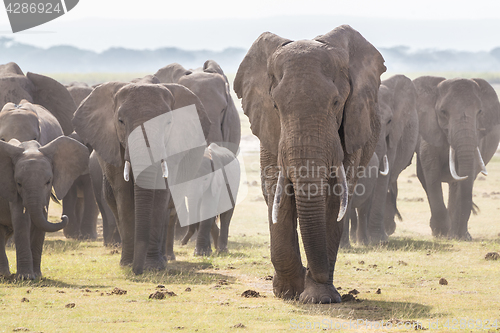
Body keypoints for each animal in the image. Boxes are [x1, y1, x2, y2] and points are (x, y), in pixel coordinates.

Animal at [0, 135, 89, 278]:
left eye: (48, 182)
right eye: (18, 183)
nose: (63, 216)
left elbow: (40, 222)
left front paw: (37, 275)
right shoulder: (12, 188)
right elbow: (21, 220)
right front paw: (26, 277)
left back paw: (5, 274)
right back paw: (4, 275)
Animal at [72, 76, 211, 274]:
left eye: (168, 123)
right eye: (121, 121)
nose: (137, 271)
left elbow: (161, 193)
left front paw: (153, 266)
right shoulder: (112, 145)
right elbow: (124, 195)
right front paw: (127, 264)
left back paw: (165, 259)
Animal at [234, 24, 386, 302]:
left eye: (336, 103)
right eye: (275, 105)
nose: (313, 273)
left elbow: (334, 197)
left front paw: (319, 297)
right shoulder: (270, 129)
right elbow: (277, 191)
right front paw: (288, 292)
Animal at [414, 75, 500, 239]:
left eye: (480, 111)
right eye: (443, 112)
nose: (462, 234)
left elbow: (468, 172)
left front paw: (460, 236)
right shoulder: (429, 131)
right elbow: (431, 171)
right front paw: (440, 233)